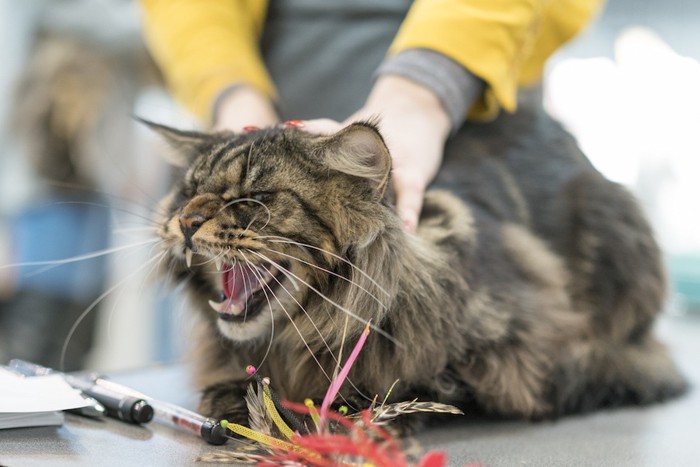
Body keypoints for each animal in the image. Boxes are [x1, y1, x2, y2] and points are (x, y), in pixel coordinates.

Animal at [150, 98, 688, 432]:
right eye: (187, 192)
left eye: (255, 199)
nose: (187, 221)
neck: (294, 340)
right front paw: (238, 402)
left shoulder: (523, 343)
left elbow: (421, 382)